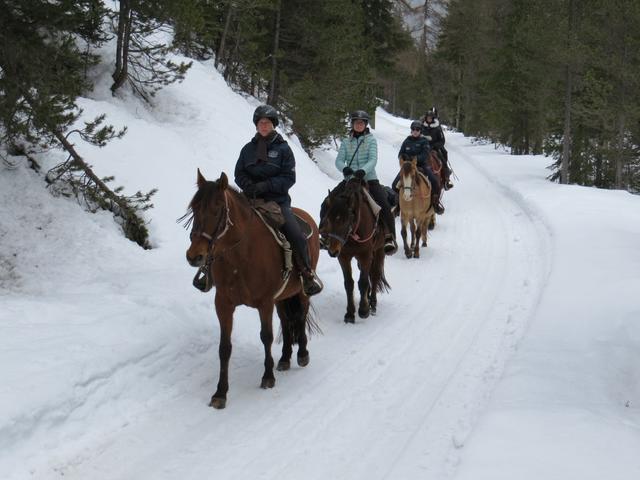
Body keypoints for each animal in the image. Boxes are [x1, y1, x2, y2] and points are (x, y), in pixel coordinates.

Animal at [181, 169, 318, 408]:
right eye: (194, 209)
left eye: (218, 208)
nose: (194, 256)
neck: (241, 254)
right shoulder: (223, 304)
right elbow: (224, 347)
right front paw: (220, 393)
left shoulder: (264, 303)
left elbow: (266, 336)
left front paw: (268, 377)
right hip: (282, 297)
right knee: (286, 320)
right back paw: (284, 358)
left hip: (301, 292)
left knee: (300, 317)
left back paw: (302, 354)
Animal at [320, 179, 390, 322]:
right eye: (328, 218)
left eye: (346, 220)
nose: (332, 251)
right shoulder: (344, 257)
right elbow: (349, 283)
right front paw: (350, 313)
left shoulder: (365, 255)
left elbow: (363, 282)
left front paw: (363, 310)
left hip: (379, 250)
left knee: (374, 276)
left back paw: (372, 304)